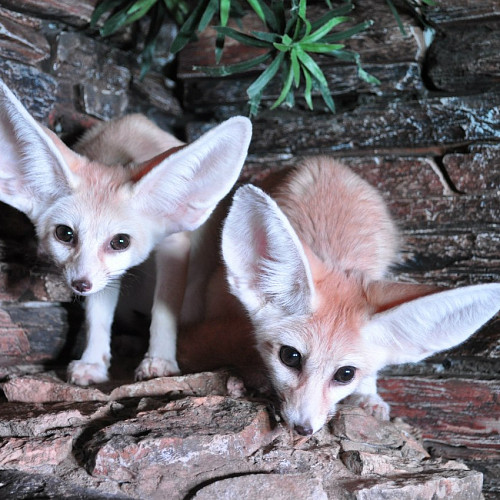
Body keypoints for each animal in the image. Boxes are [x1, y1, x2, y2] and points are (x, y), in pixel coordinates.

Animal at [0, 81, 250, 386]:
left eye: (120, 242)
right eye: (65, 234)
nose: (80, 285)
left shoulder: (173, 244)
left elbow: (164, 308)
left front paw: (160, 361)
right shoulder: (104, 277)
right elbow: (97, 315)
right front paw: (93, 362)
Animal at [182, 158, 500, 436]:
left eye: (345, 374)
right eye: (290, 357)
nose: (303, 429)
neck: (334, 256)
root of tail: (323, 161)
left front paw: (368, 395)